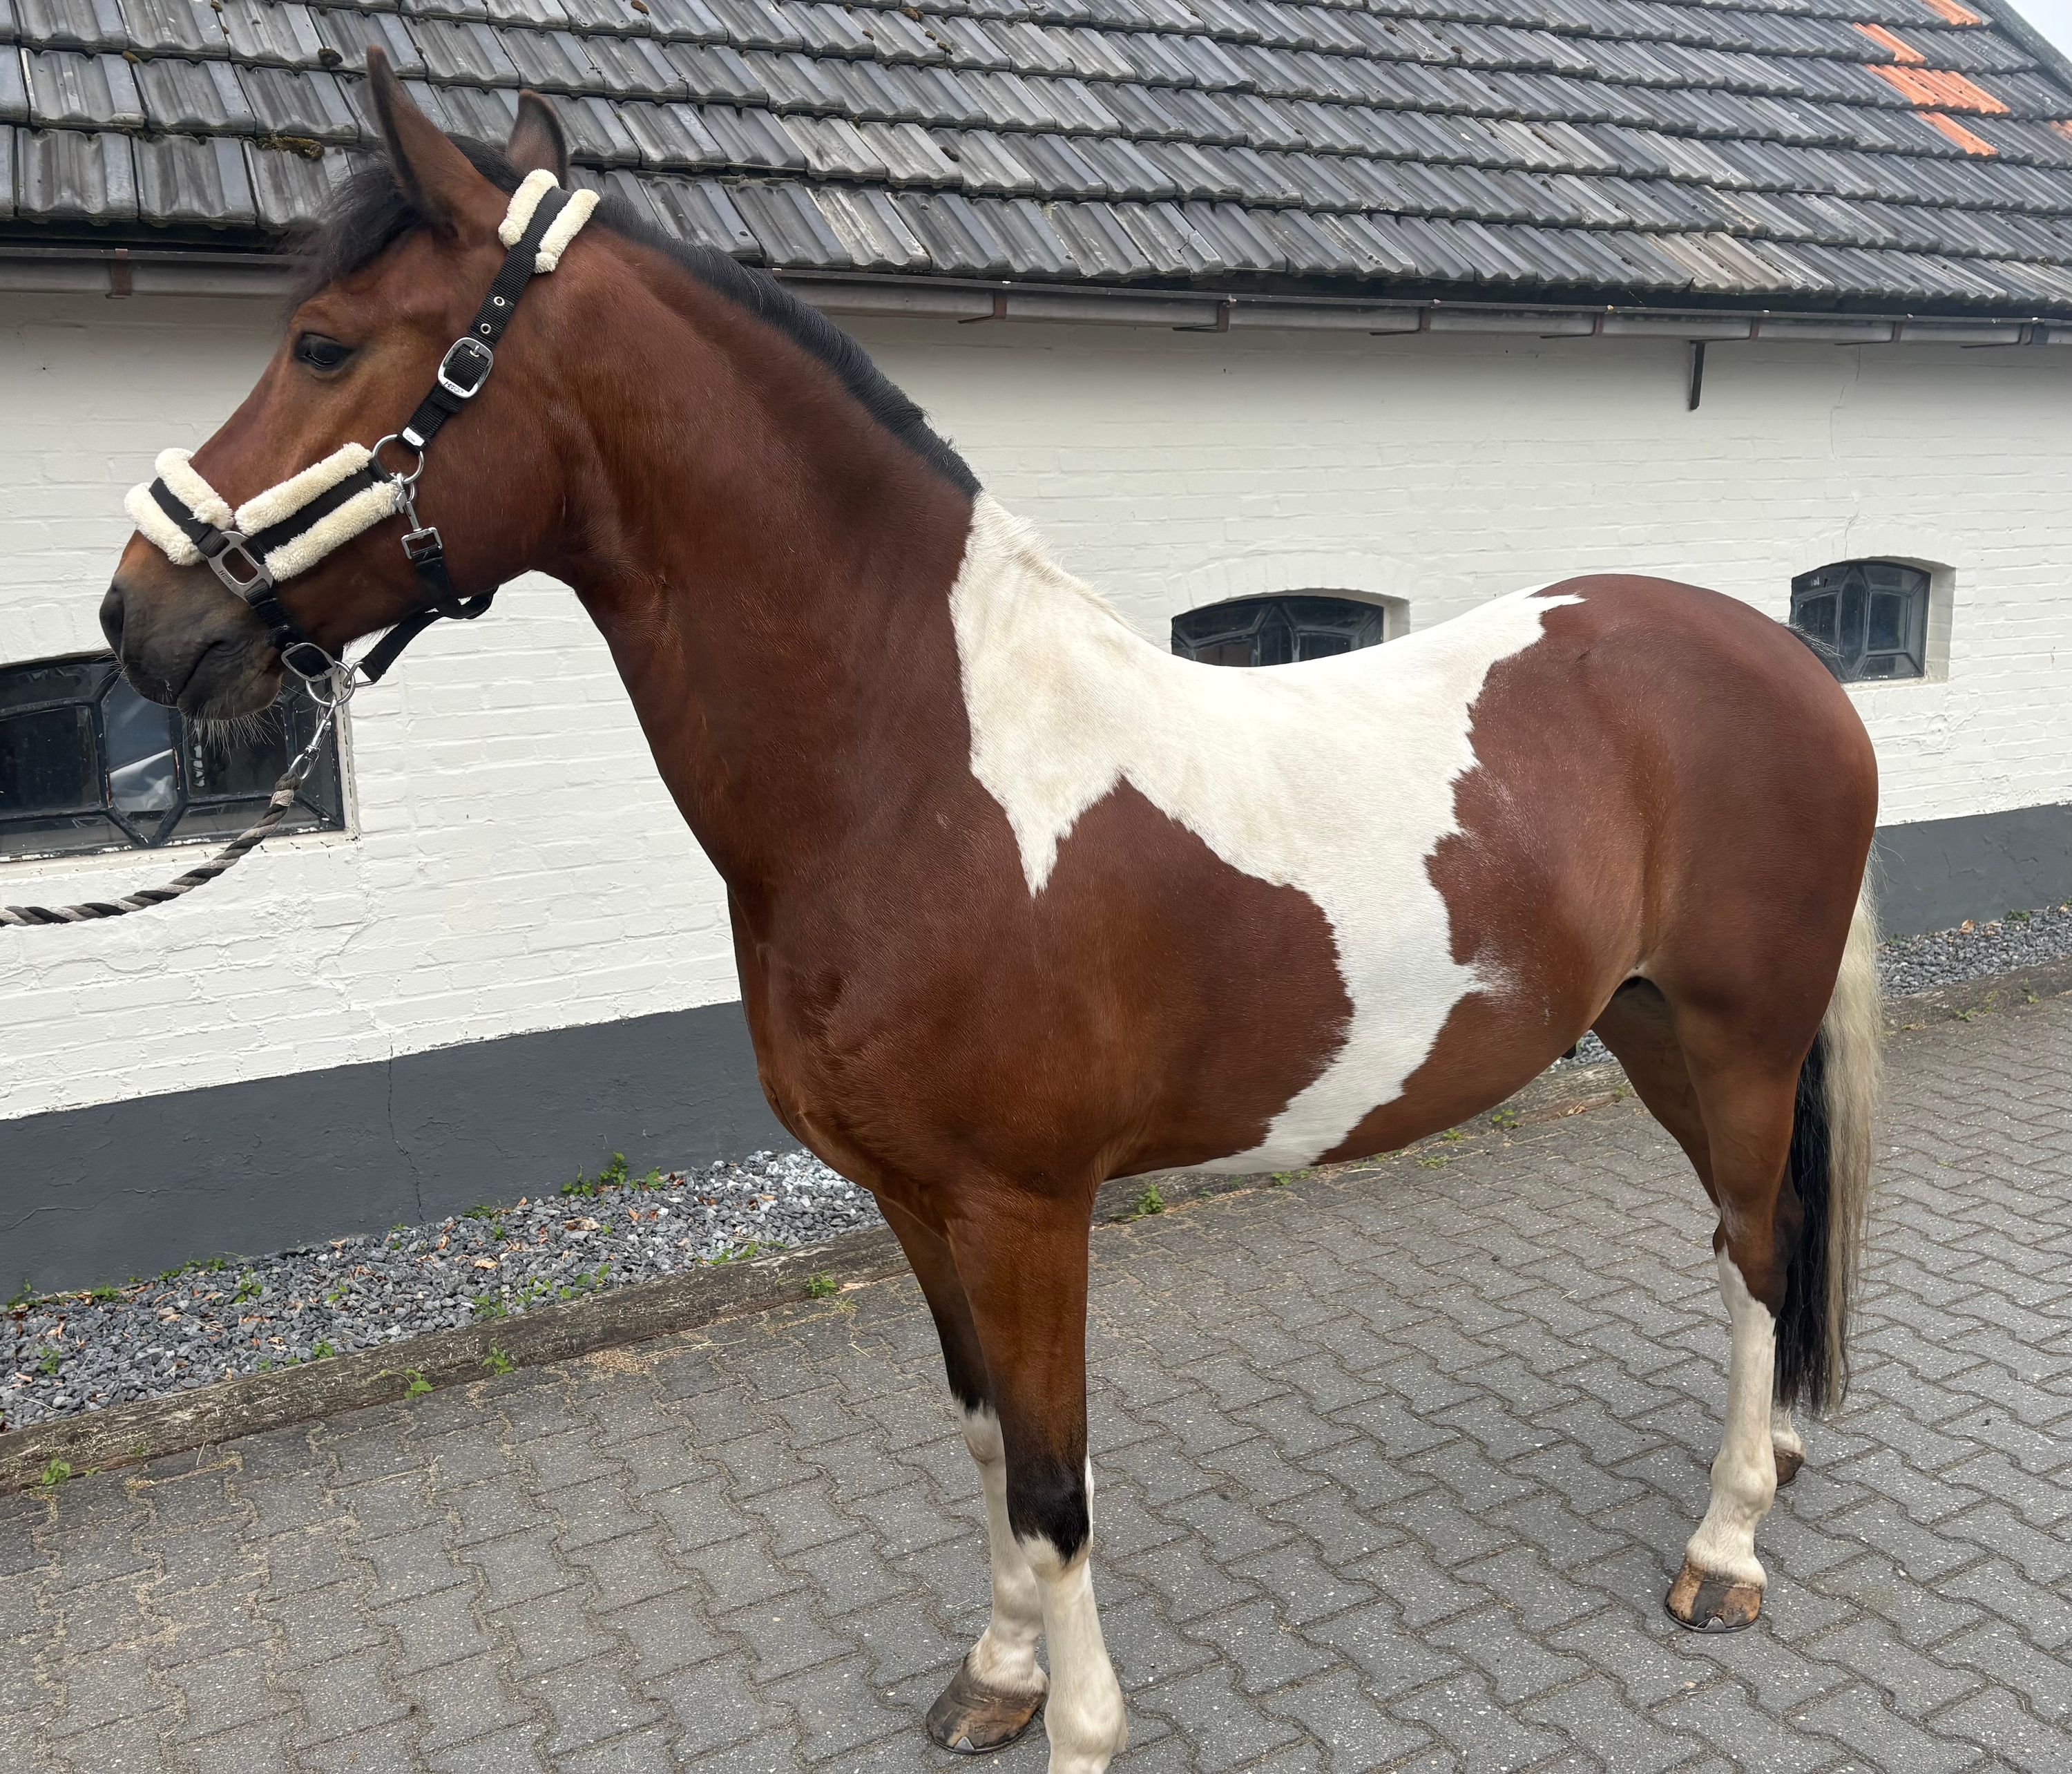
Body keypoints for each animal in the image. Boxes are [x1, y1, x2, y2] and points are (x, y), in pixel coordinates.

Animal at [99, 61, 1879, 1772]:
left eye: (325, 343)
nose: (138, 618)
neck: (918, 775)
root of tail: (1788, 657)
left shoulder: (1027, 1209)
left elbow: (1051, 1474)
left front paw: (1080, 1725)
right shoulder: (913, 1199)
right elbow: (979, 1438)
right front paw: (1000, 1674)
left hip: (1736, 1039)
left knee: (1750, 1249)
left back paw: (1724, 1546)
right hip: (1650, 1030)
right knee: (1759, 1240)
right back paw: (1777, 1462)